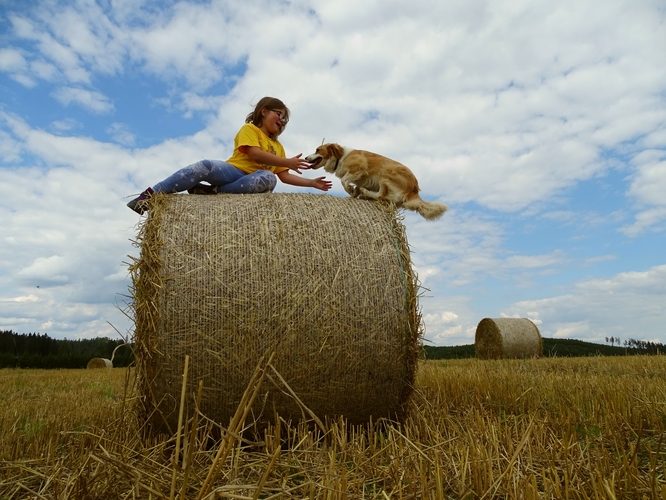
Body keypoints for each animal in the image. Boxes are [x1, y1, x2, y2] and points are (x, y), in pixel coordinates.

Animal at [306, 141, 446, 219]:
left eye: (317, 150)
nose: (306, 157)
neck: (340, 157)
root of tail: (414, 190)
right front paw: (354, 192)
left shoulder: (360, 168)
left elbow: (344, 181)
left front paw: (352, 190)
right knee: (384, 197)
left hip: (385, 171)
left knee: (381, 195)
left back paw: (364, 191)